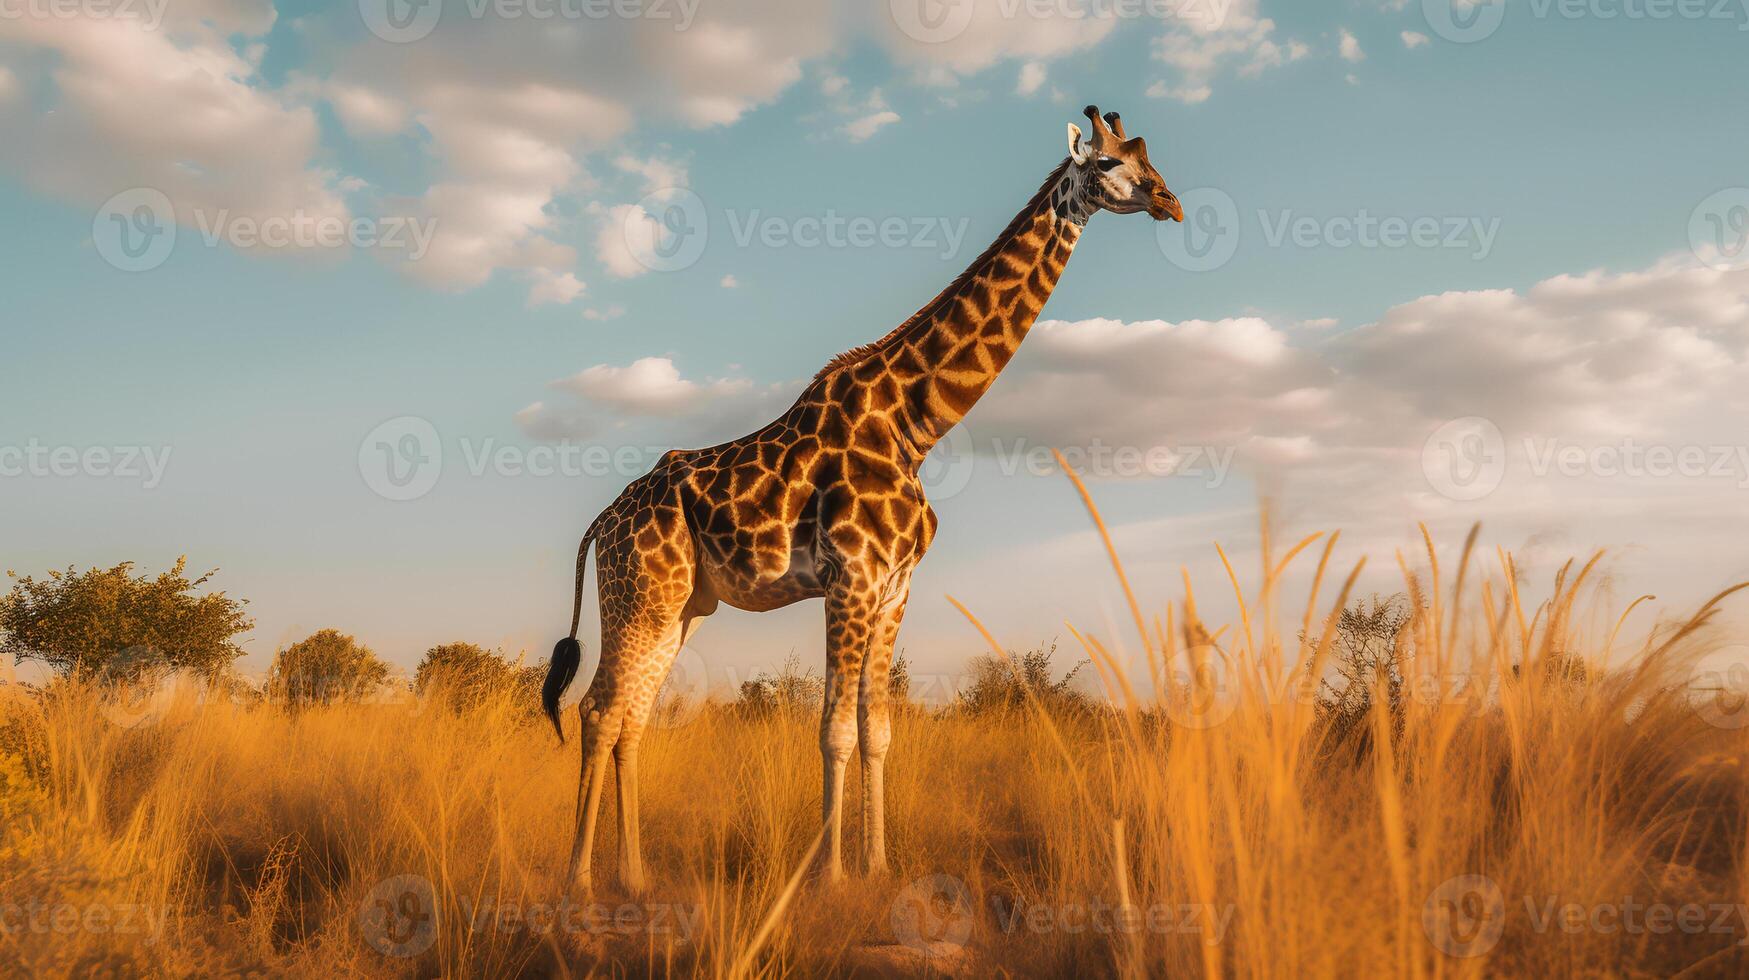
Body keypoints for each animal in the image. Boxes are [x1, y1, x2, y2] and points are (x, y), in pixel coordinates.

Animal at [538, 105, 1182, 889]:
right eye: (1110, 163)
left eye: (1147, 157)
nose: (1170, 202)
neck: (915, 424)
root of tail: (603, 520)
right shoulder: (850, 578)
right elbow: (835, 731)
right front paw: (830, 876)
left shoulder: (895, 586)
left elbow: (878, 732)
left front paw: (874, 866)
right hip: (637, 594)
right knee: (600, 711)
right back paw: (577, 878)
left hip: (679, 604)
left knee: (633, 716)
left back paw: (633, 875)